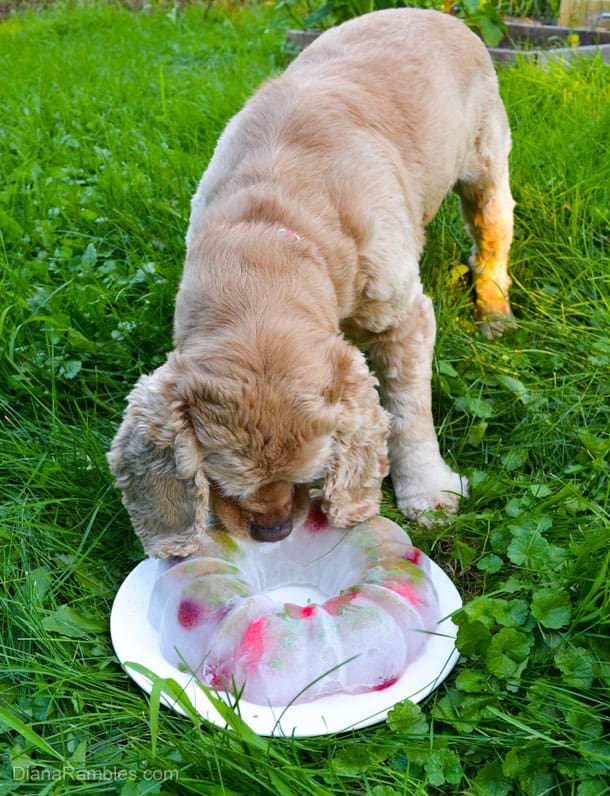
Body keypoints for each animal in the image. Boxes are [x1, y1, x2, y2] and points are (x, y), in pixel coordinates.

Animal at [108, 6, 512, 556]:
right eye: (219, 480)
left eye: (310, 474)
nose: (275, 532)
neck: (266, 230)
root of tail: (435, 12)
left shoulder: (404, 315)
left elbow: (408, 412)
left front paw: (428, 492)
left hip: (486, 163)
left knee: (492, 238)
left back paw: (495, 314)